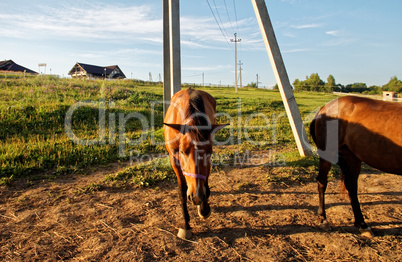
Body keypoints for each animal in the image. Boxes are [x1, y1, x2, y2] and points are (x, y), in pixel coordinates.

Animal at [163, 88, 226, 239]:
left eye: (209, 152)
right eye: (182, 151)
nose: (196, 196)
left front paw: (204, 208)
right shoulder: (174, 158)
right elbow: (182, 190)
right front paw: (186, 224)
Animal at [310, 95, 402, 237]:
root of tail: (323, 109)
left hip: (352, 156)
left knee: (351, 186)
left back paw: (362, 224)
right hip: (329, 153)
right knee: (322, 181)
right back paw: (323, 219)